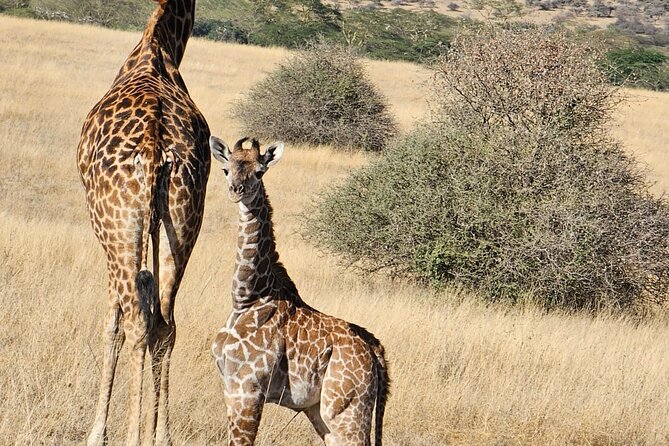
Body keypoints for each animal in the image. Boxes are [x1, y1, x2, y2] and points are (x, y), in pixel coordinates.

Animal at [76, 1, 208, 444]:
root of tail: (155, 144)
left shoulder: (106, 235)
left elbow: (111, 325)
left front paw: (97, 431)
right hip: (184, 222)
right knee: (166, 323)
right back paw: (160, 434)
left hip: (118, 228)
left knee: (136, 321)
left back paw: (131, 435)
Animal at [208, 136, 390, 446]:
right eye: (226, 169)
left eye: (260, 172)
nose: (236, 190)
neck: (247, 297)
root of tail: (377, 354)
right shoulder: (229, 388)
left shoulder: (248, 389)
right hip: (321, 412)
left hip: (347, 410)